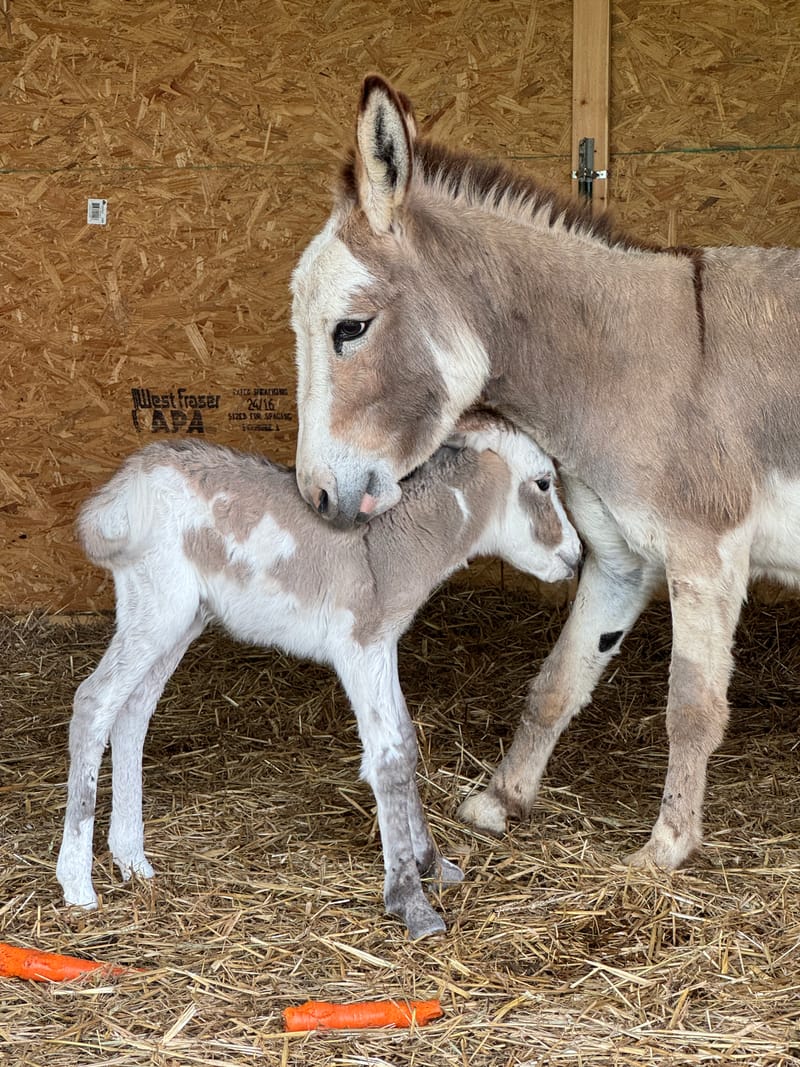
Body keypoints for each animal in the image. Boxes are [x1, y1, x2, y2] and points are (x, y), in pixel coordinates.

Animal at [57, 411, 584, 938]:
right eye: (544, 482)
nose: (577, 557)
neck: (386, 547)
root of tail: (126, 485)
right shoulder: (359, 649)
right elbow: (389, 758)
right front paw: (411, 901)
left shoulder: (383, 646)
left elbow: (407, 741)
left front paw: (432, 864)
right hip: (158, 611)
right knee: (94, 702)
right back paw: (78, 885)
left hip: (181, 620)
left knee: (132, 712)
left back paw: (133, 861)